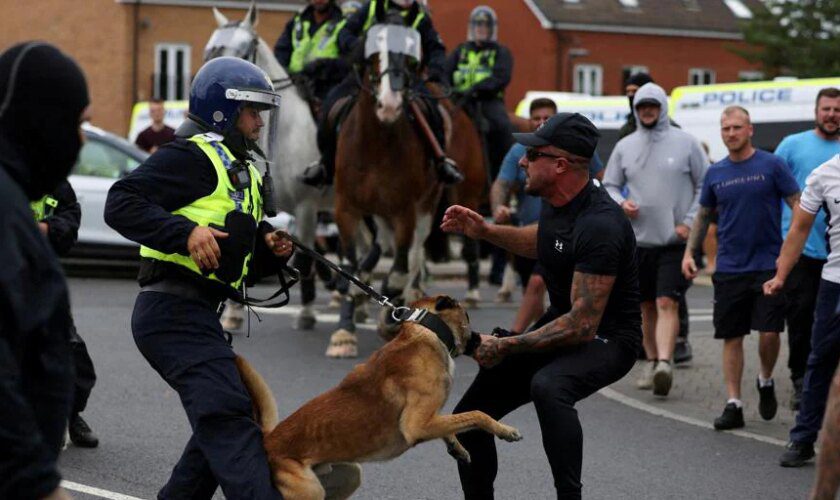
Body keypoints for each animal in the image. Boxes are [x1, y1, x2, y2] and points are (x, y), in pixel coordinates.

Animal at [205, 1, 330, 330]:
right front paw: (234, 313)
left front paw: (306, 312)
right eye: (210, 48)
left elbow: (304, 260)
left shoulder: (307, 207)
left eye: (244, 48)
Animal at [236, 294, 520, 498]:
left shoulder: (431, 419)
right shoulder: (417, 425)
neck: (427, 332)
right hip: (309, 489)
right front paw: (504, 430)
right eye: (467, 316)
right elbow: (476, 414)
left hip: (348, 474)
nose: (484, 338)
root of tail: (269, 440)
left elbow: (452, 423)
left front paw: (456, 447)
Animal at [326, 24, 446, 360]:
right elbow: (349, 269)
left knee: (414, 258)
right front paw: (343, 334)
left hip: (425, 208)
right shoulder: (346, 208)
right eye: (373, 53)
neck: (377, 144)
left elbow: (398, 273)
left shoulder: (405, 212)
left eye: (410, 56)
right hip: (377, 215)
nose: (390, 105)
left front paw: (391, 320)